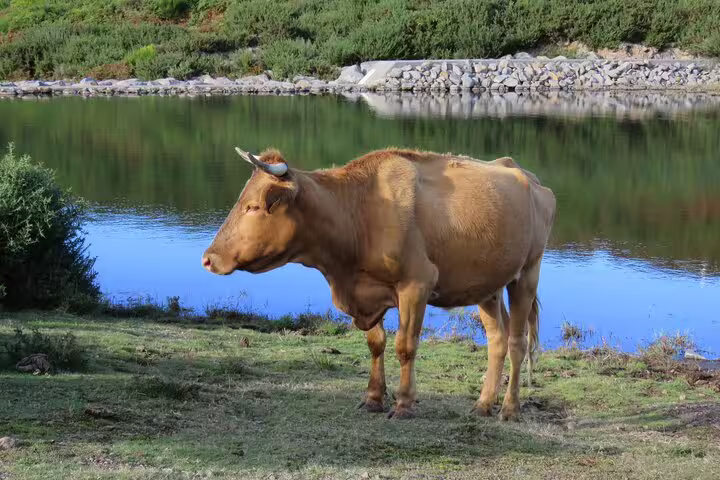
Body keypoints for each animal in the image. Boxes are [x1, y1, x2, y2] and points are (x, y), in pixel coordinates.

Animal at [202, 147, 556, 421]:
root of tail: (530, 177)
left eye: (254, 206)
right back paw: (483, 404)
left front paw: (404, 405)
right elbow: (376, 344)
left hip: (527, 273)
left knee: (517, 342)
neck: (360, 211)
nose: (208, 258)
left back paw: (509, 409)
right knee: (497, 340)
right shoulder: (368, 292)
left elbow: (405, 346)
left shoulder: (416, 284)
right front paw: (373, 398)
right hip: (487, 286)